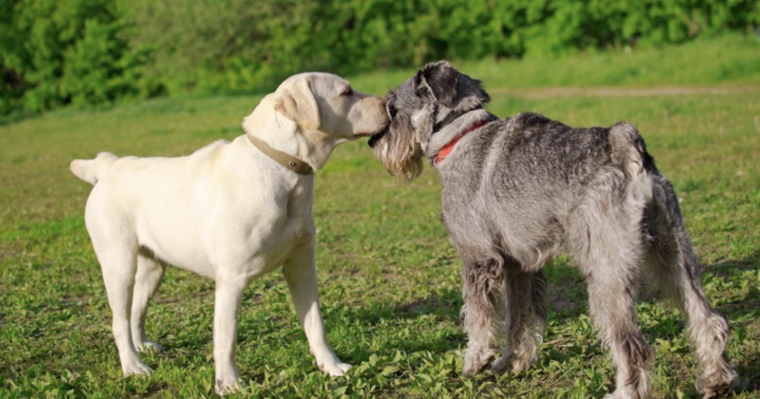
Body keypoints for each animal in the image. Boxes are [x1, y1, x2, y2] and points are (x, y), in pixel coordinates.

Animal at [69, 73, 388, 396]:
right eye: (346, 93)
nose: (389, 102)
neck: (281, 168)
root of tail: (109, 166)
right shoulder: (231, 280)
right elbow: (226, 340)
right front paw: (229, 384)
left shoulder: (301, 268)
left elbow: (316, 326)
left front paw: (332, 367)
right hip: (119, 266)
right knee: (119, 321)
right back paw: (133, 366)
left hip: (153, 270)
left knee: (135, 311)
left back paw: (142, 347)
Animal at [368, 61, 736, 398]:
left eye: (393, 107)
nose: (373, 142)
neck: (460, 135)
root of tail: (628, 154)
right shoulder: (519, 265)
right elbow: (520, 319)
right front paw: (511, 363)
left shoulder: (478, 258)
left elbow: (479, 316)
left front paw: (476, 360)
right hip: (674, 257)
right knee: (708, 320)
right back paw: (715, 380)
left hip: (606, 275)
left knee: (633, 347)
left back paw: (626, 392)